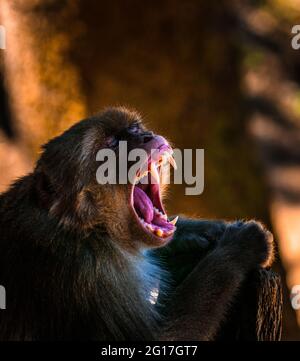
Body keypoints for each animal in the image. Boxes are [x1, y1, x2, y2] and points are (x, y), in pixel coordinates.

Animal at [0, 105, 274, 338]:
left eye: (133, 129)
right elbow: (162, 337)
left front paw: (209, 232)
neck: (91, 228)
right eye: (110, 145)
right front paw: (240, 246)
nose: (145, 136)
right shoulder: (92, 271)